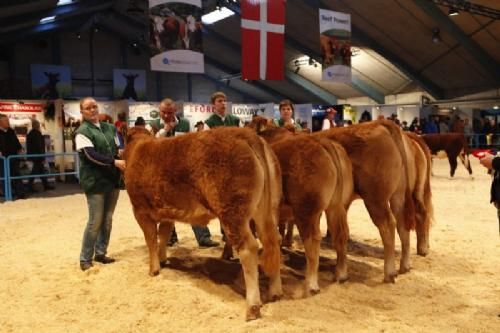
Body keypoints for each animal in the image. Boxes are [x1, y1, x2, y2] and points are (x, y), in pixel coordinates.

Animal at [123, 126, 284, 320]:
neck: (138, 148)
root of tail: (248, 135)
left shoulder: (140, 210)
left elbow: (151, 239)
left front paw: (153, 269)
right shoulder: (167, 212)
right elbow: (163, 235)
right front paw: (162, 260)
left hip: (233, 213)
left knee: (249, 249)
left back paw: (252, 307)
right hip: (268, 210)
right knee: (272, 242)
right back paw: (276, 292)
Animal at [249, 116, 352, 290]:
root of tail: (324, 143)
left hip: (305, 211)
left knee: (312, 240)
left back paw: (311, 283)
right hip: (335, 207)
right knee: (340, 234)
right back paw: (341, 273)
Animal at [314, 119, 416, 280]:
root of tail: (382, 123)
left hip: (375, 199)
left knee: (387, 225)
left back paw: (389, 272)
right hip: (398, 196)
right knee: (402, 224)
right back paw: (404, 266)